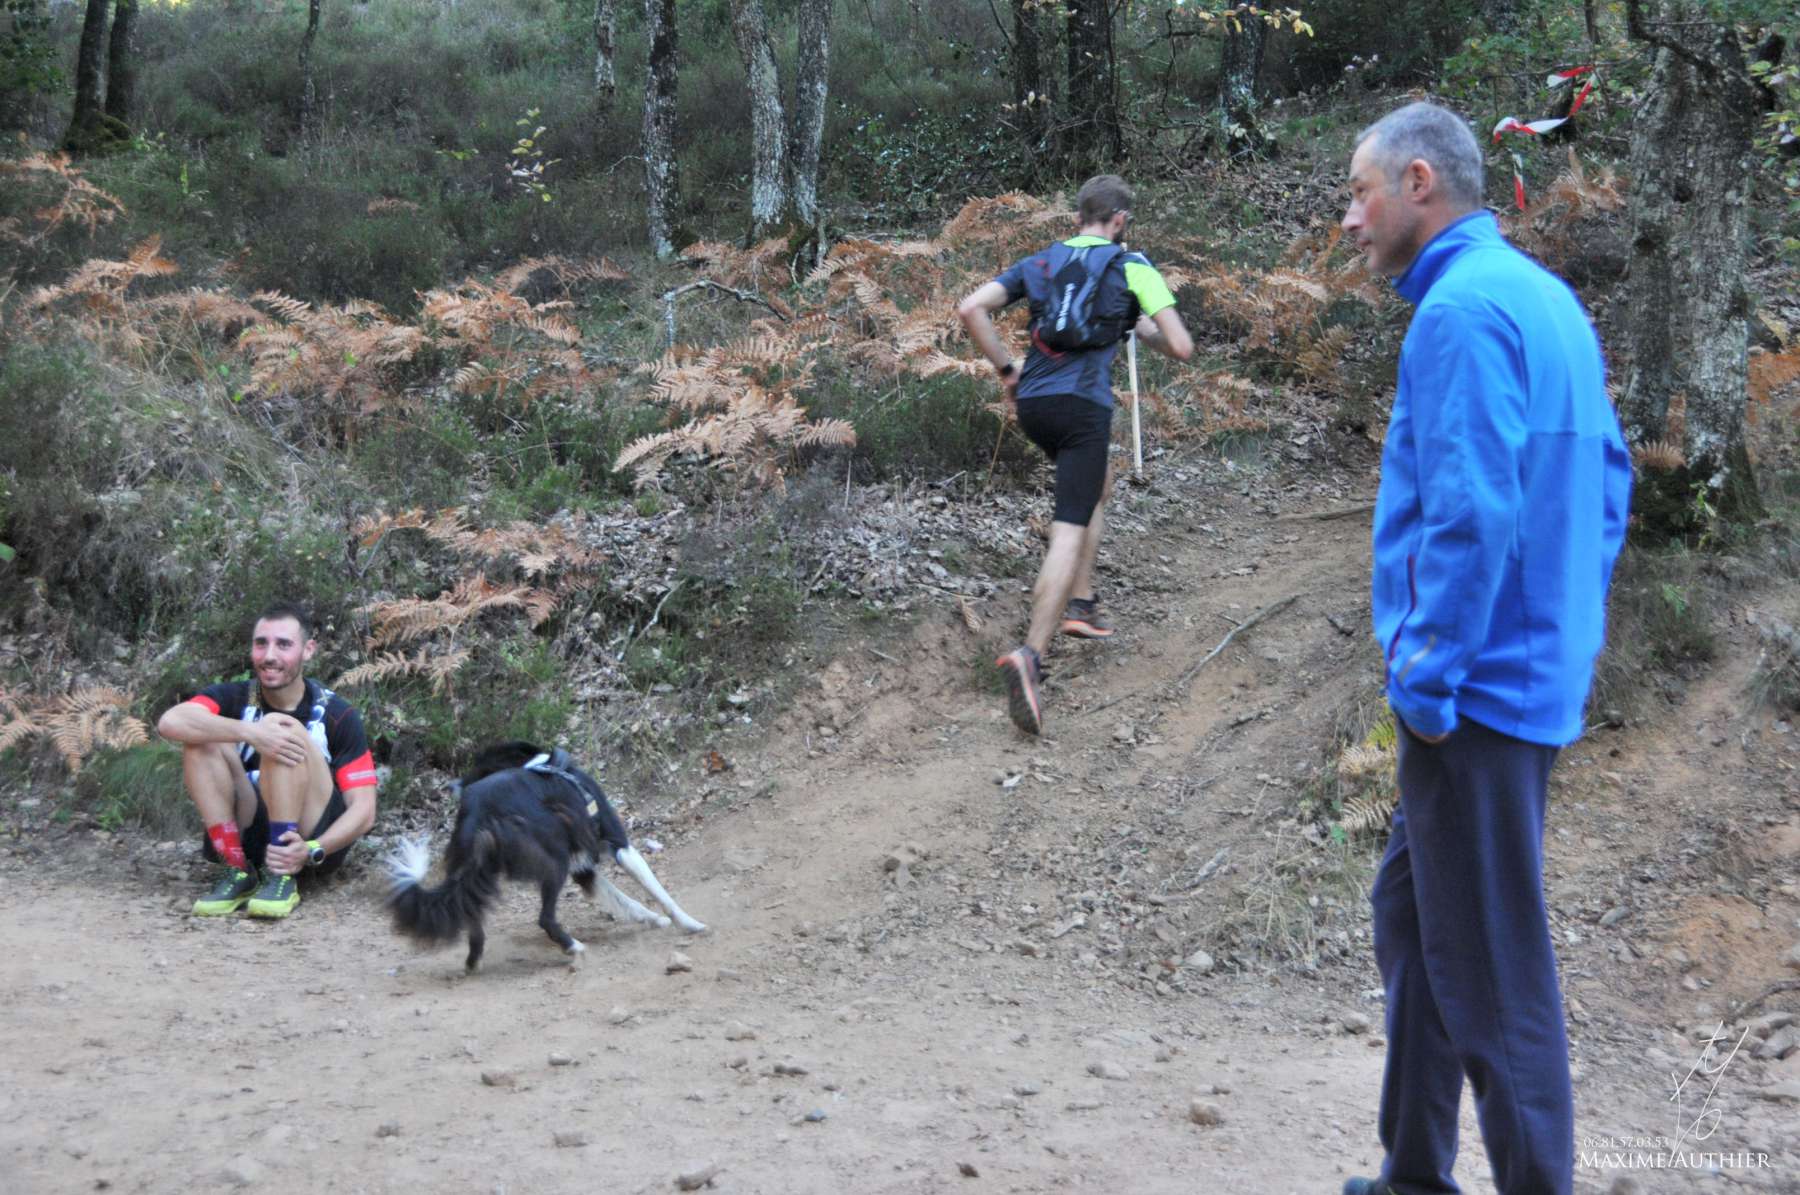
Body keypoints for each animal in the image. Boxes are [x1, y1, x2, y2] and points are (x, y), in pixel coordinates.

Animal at [386, 740, 705, 970]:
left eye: (476, 766)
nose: (452, 786)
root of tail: (479, 811)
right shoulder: (619, 845)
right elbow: (658, 891)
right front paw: (690, 923)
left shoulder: (584, 871)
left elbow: (623, 900)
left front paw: (653, 920)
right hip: (555, 861)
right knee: (544, 918)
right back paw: (573, 947)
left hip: (471, 869)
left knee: (471, 916)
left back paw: (473, 962)